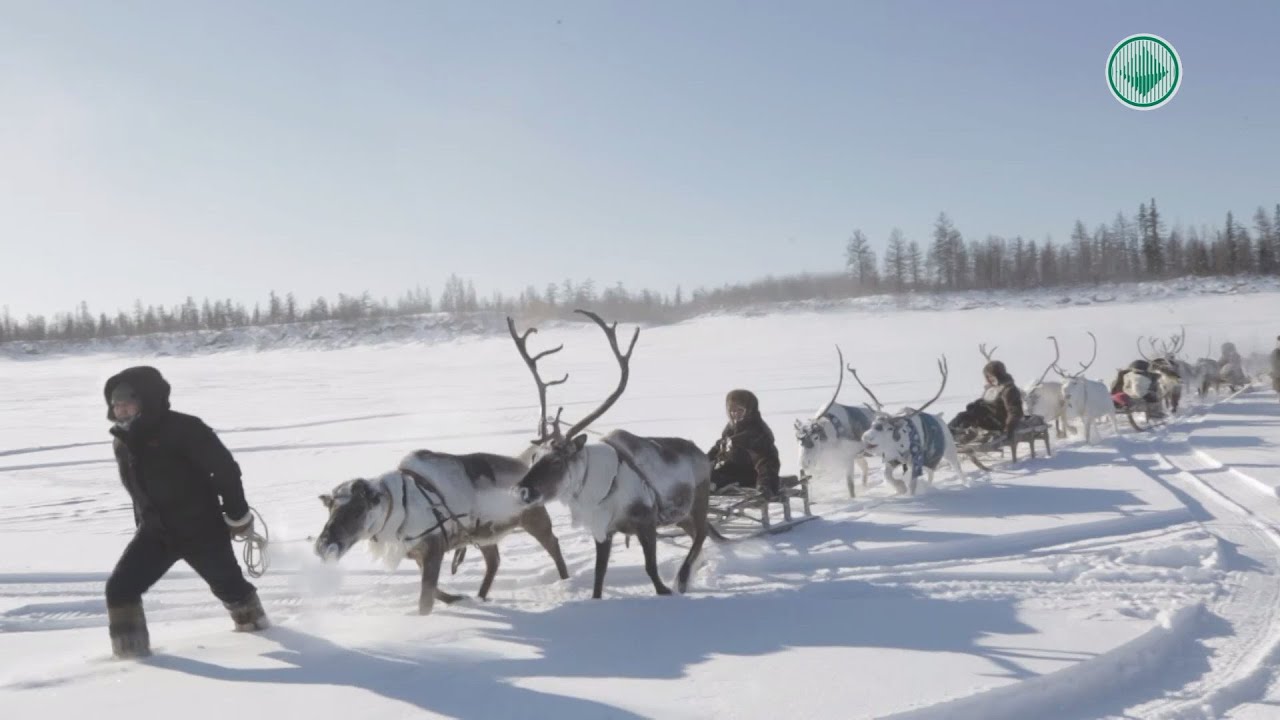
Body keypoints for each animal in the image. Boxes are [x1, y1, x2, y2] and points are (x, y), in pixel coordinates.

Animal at [513, 310, 714, 600]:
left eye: (557, 461)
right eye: (533, 457)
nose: (522, 490)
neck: (599, 490)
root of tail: (701, 451)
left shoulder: (646, 521)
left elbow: (651, 570)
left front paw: (666, 589)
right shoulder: (603, 531)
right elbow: (599, 576)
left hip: (700, 497)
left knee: (703, 531)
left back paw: (683, 577)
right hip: (681, 514)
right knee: (698, 531)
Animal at [794, 346, 875, 498]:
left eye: (816, 436)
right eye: (798, 439)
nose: (804, 463)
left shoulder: (848, 458)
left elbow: (850, 486)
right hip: (859, 456)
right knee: (866, 467)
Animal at [849, 357, 964, 496]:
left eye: (889, 428)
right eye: (873, 424)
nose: (866, 436)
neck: (901, 445)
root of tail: (939, 417)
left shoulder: (916, 461)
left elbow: (912, 484)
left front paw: (909, 494)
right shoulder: (892, 459)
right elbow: (887, 475)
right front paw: (900, 487)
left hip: (949, 451)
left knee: (958, 469)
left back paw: (966, 484)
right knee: (931, 474)